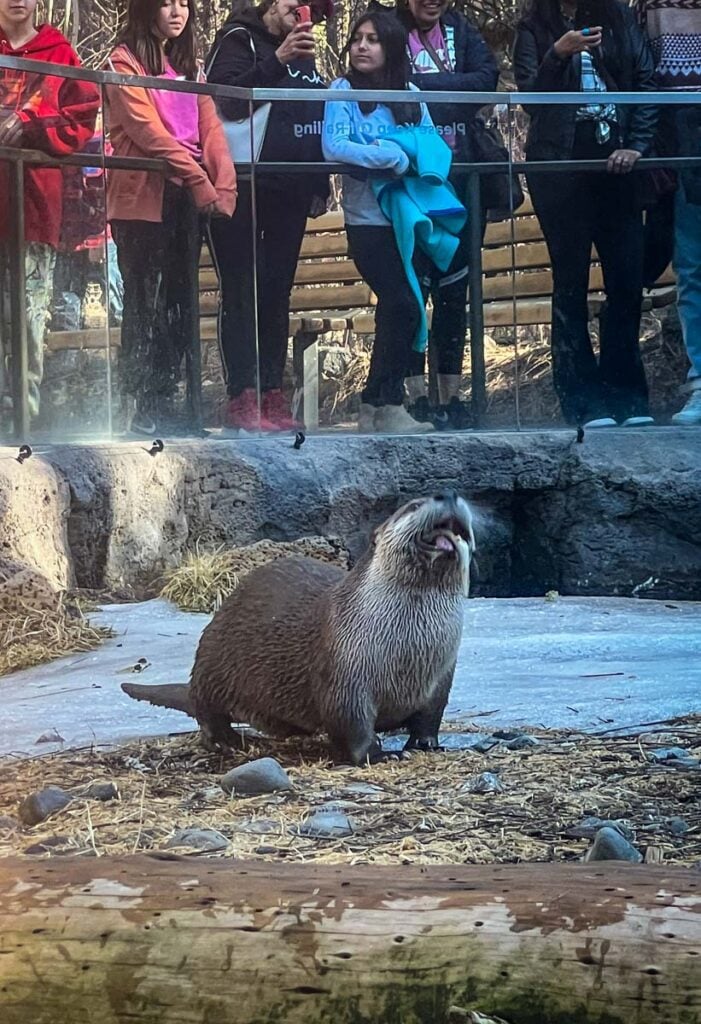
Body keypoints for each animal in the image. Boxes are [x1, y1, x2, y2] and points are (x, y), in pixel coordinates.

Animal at [124, 491, 474, 765]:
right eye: (414, 505)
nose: (449, 494)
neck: (408, 651)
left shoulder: (442, 676)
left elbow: (430, 717)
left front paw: (428, 745)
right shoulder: (343, 671)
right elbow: (352, 724)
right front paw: (378, 754)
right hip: (212, 661)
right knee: (206, 712)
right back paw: (228, 741)